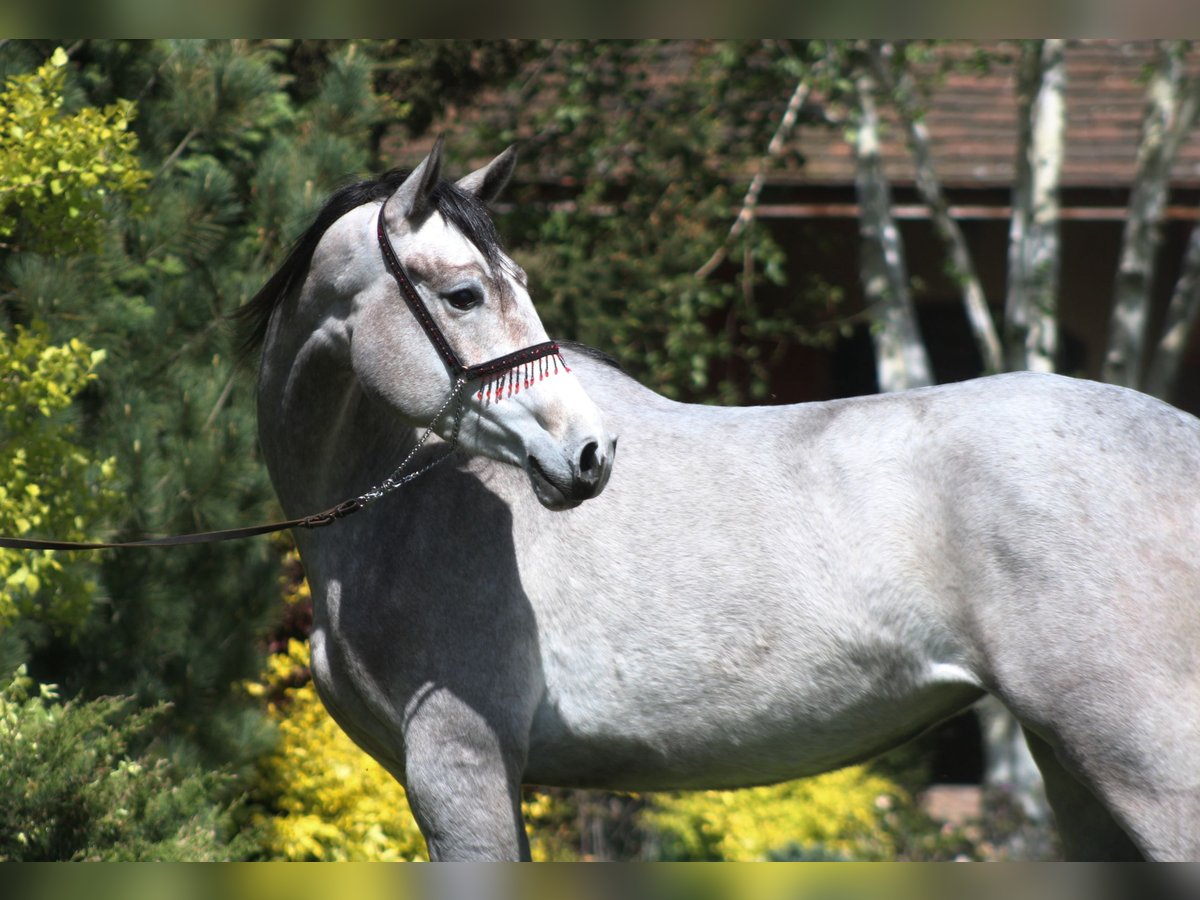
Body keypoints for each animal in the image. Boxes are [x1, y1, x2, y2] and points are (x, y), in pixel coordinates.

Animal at [246, 144, 1200, 864]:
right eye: (465, 293)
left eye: (498, 284)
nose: (588, 454)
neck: (404, 511)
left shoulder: (461, 766)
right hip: (1075, 775)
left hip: (1142, 764)